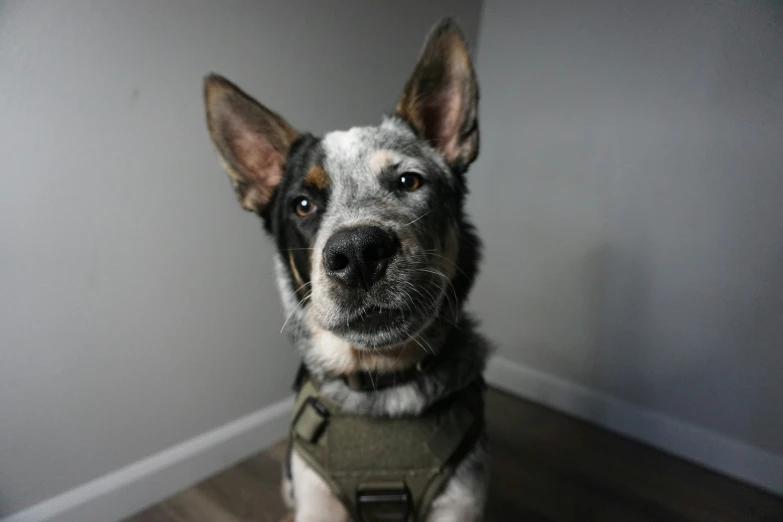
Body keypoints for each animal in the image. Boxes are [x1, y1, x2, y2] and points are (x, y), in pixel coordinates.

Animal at [205, 17, 494, 520]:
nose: (358, 253)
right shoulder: (316, 499)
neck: (379, 385)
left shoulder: (461, 499)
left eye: (410, 181)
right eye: (303, 204)